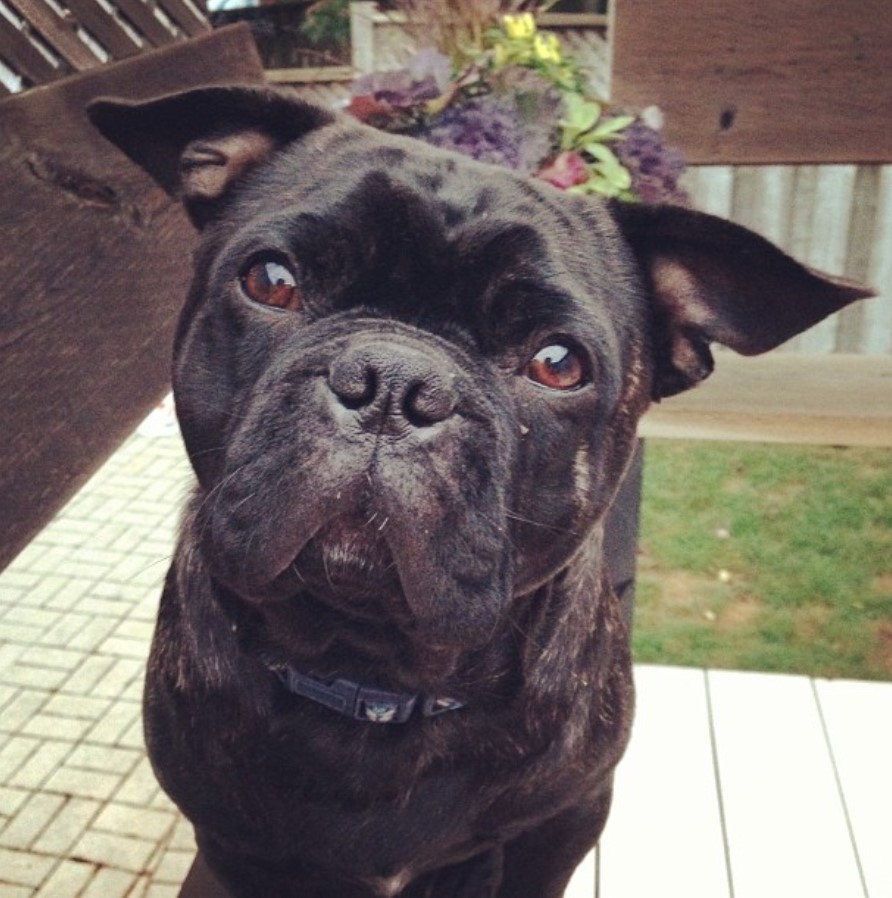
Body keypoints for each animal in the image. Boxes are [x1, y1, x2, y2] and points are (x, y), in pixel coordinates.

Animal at [89, 86, 864, 896]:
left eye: (558, 362)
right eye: (272, 280)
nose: (394, 382)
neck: (373, 672)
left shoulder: (559, 826)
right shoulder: (238, 845)